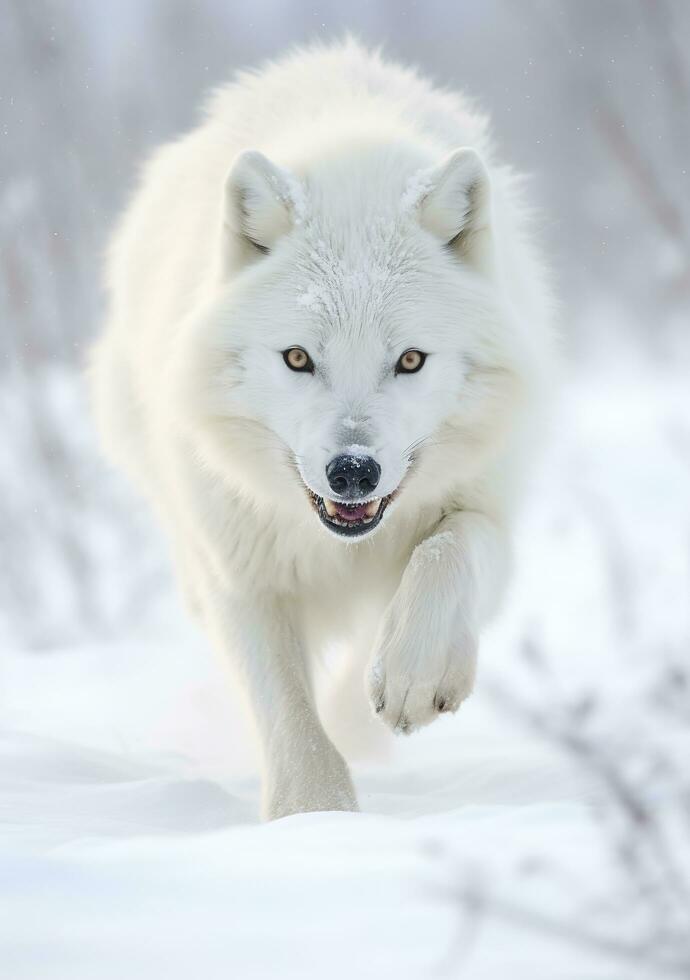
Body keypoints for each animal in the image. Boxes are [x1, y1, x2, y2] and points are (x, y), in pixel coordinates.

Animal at [90, 40, 552, 820]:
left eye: (410, 360)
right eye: (299, 358)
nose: (353, 472)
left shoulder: (486, 507)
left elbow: (449, 550)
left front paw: (413, 678)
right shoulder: (239, 569)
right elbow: (287, 713)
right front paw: (316, 821)